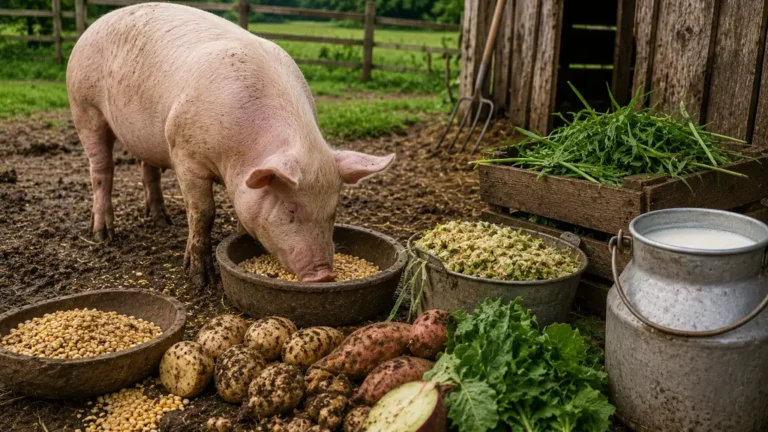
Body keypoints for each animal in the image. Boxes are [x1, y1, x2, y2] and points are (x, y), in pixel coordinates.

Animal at [66, 3, 394, 286]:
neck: (238, 156)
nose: (324, 275)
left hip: (144, 134)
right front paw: (199, 279)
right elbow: (203, 213)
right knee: (101, 169)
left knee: (148, 168)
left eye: (333, 211)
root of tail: (95, 24)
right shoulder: (185, 155)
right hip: (84, 107)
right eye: (290, 209)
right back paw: (103, 234)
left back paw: (161, 222)